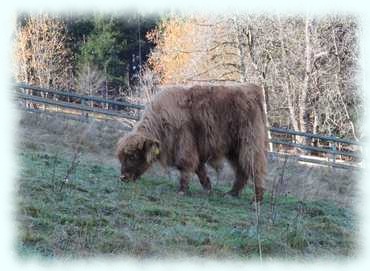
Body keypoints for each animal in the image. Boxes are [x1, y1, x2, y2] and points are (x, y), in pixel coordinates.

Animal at [117, 84, 268, 202]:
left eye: (132, 156)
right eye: (121, 158)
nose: (123, 178)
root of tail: (252, 90)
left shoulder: (185, 145)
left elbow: (185, 166)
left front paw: (182, 191)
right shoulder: (196, 151)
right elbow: (200, 170)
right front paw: (208, 189)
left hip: (249, 143)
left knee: (254, 166)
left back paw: (256, 199)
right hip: (234, 149)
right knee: (242, 169)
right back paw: (231, 194)